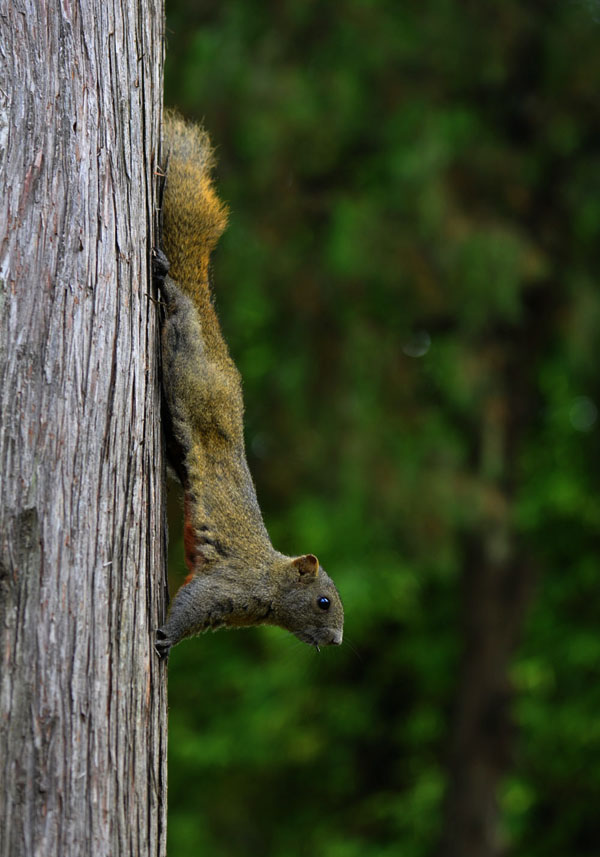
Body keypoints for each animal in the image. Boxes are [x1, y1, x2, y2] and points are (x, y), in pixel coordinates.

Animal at [152, 113, 344, 660]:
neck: (269, 583)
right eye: (324, 601)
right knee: (179, 307)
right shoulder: (227, 585)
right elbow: (190, 604)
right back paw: (165, 276)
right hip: (190, 363)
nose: (337, 640)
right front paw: (165, 638)